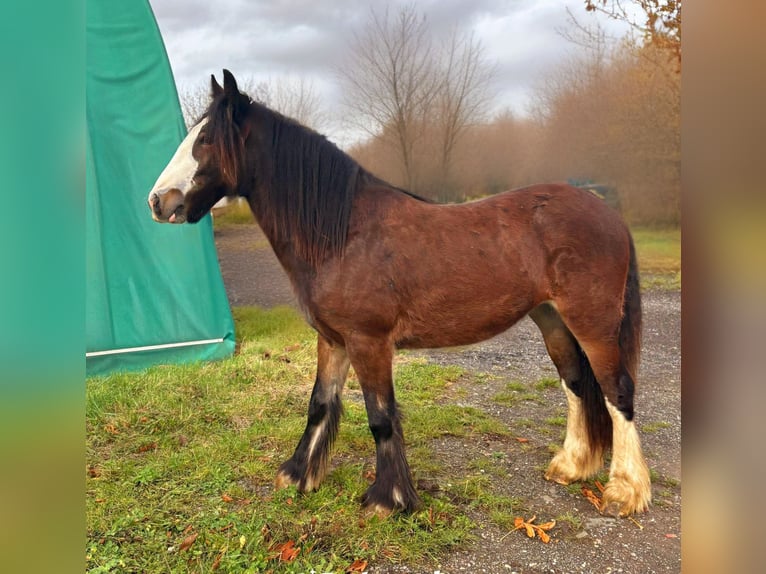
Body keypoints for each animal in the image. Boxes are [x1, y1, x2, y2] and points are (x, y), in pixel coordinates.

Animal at [148, 70, 651, 517]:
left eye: (206, 140)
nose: (158, 201)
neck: (344, 233)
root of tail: (607, 212)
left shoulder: (369, 343)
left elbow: (380, 417)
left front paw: (387, 500)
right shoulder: (333, 339)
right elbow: (319, 404)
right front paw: (297, 475)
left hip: (593, 324)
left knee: (617, 391)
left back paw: (624, 492)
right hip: (553, 320)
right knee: (576, 384)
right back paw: (571, 467)